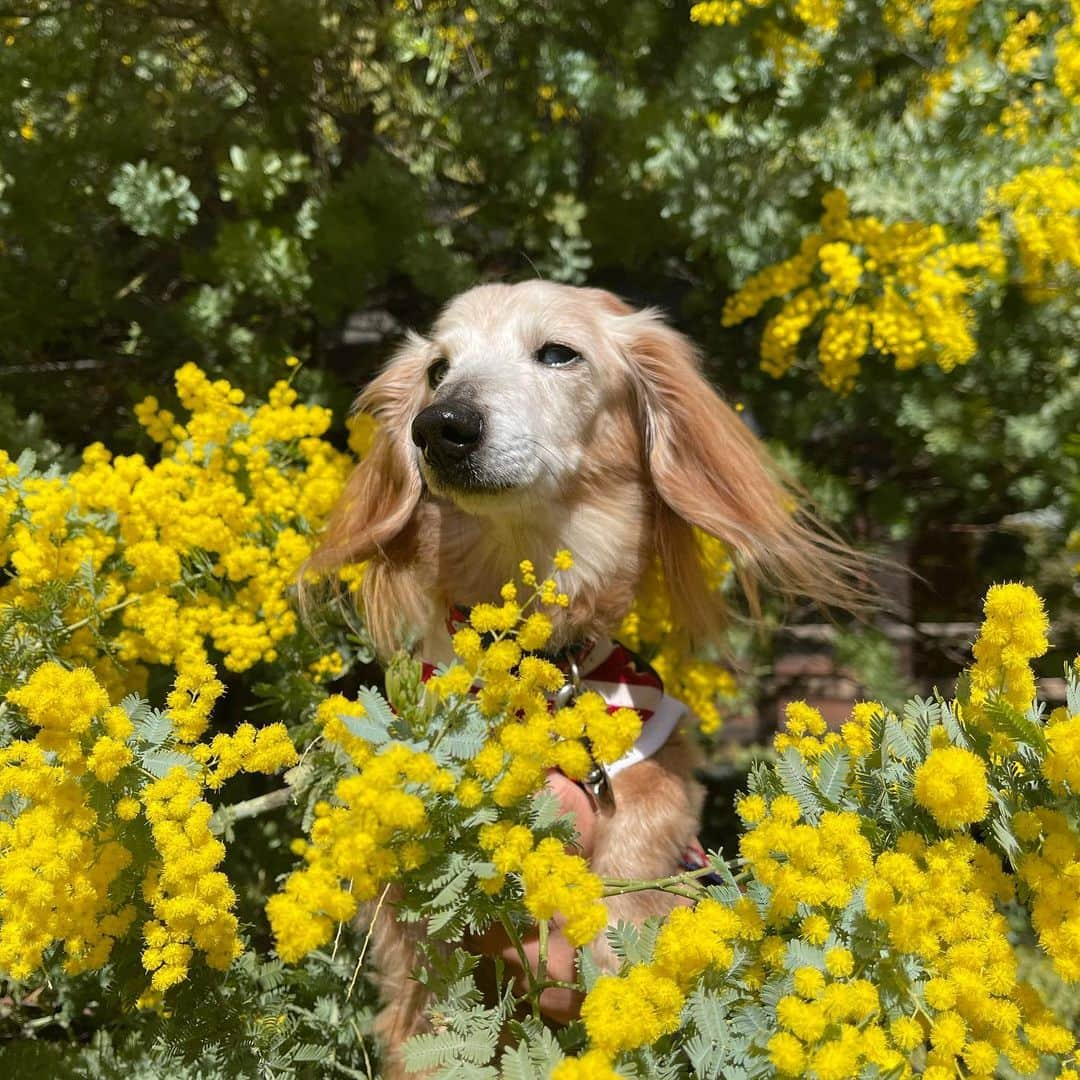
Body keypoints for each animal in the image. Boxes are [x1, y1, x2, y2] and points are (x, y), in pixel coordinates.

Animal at [306, 278, 868, 1071]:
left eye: (558, 353)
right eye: (438, 369)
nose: (440, 426)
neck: (541, 668)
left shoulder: (650, 791)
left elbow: (635, 873)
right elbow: (424, 994)